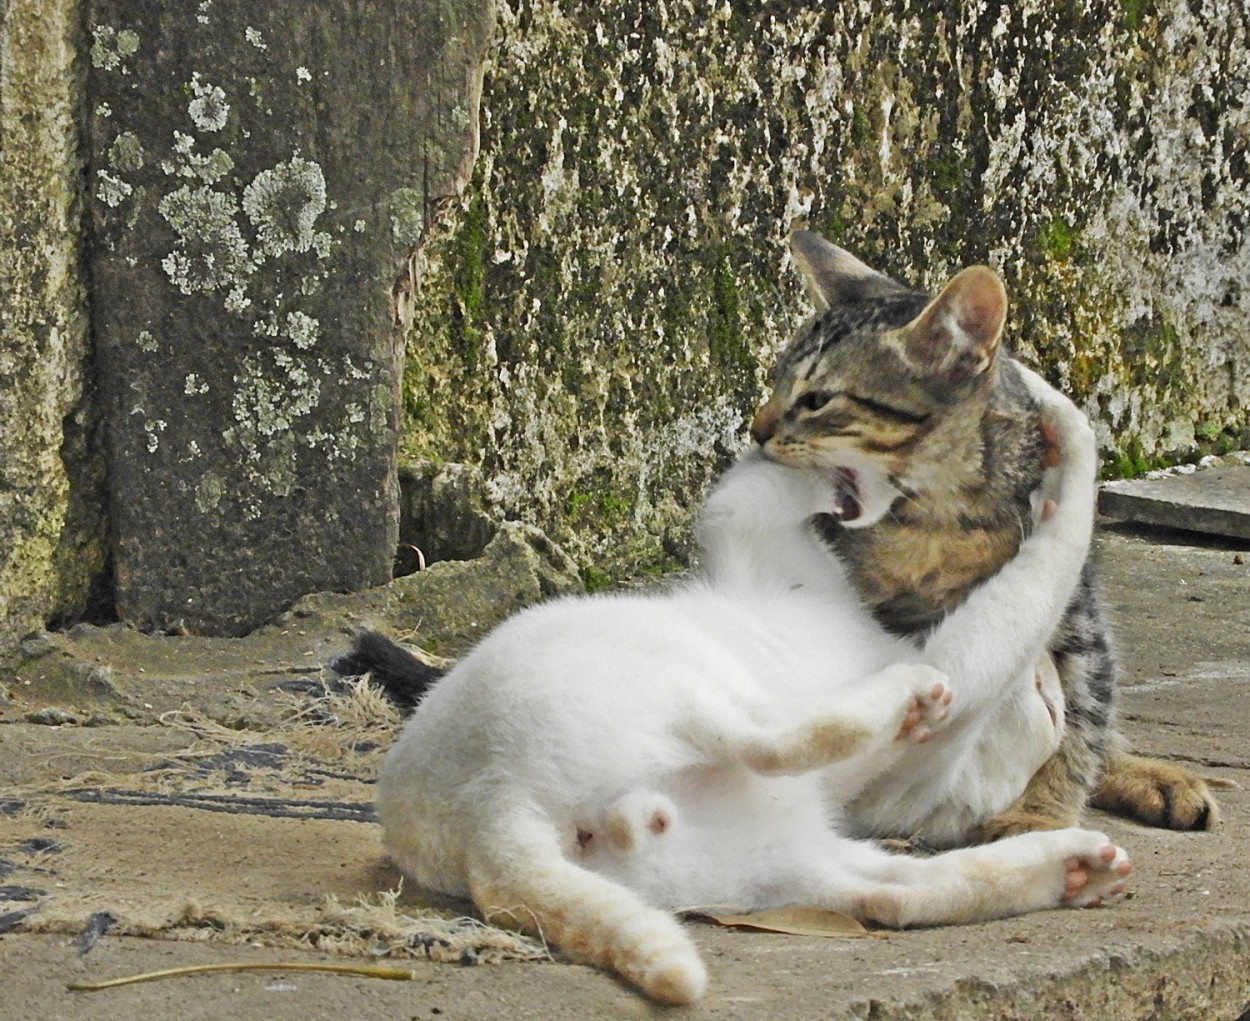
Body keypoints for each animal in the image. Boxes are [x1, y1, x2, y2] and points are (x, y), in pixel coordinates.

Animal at [375, 367, 1130, 1004]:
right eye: (1048, 703)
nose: (1051, 687)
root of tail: (488, 817)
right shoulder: (754, 539)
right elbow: (757, 486)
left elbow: (1044, 566)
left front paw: (1063, 425)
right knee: (883, 875)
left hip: (693, 716)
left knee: (813, 794)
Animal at [750, 231, 1220, 844]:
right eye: (774, 384)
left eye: (815, 400)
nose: (755, 431)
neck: (937, 515)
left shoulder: (1075, 609)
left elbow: (1082, 718)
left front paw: (1041, 814)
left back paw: (1152, 776)